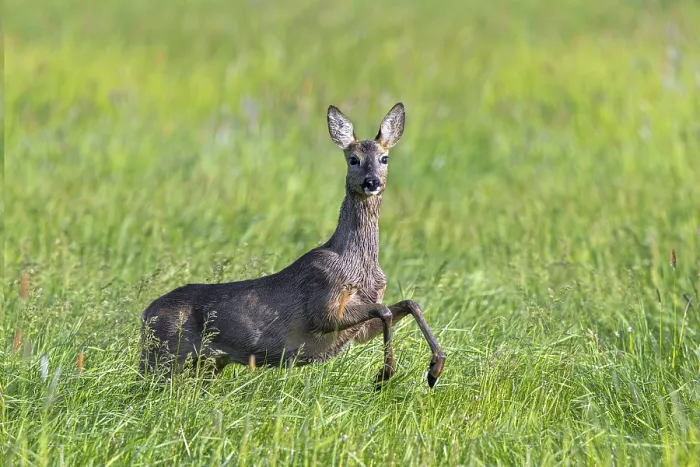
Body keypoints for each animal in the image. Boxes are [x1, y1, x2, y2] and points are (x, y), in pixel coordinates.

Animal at [140, 103, 446, 388]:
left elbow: (409, 303)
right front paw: (385, 375)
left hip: (206, 363)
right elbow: (384, 311)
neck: (357, 264)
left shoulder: (357, 329)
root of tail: (145, 315)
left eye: (384, 158)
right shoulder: (324, 308)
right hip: (164, 355)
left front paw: (435, 368)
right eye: (353, 159)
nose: (371, 182)